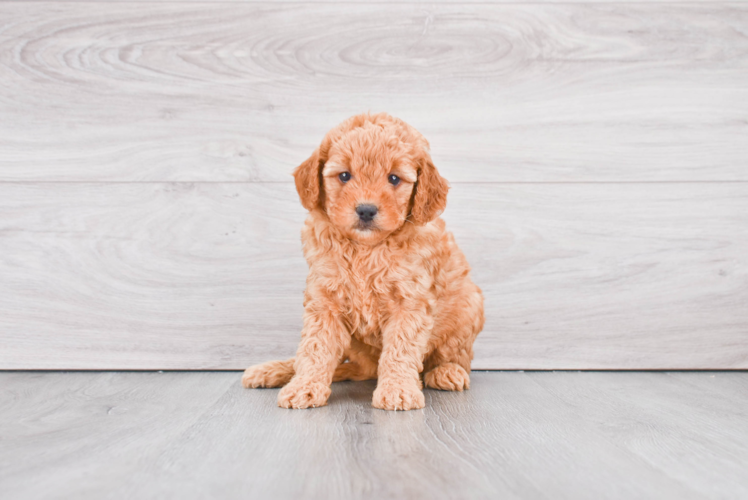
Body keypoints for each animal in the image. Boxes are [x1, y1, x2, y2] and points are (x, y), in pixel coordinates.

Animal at [241, 113, 486, 410]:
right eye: (345, 175)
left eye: (394, 178)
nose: (366, 210)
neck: (366, 249)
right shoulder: (324, 301)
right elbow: (315, 348)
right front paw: (305, 386)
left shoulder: (410, 302)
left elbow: (400, 348)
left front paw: (397, 389)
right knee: (356, 368)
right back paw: (273, 370)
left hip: (468, 307)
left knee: (453, 357)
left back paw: (447, 372)